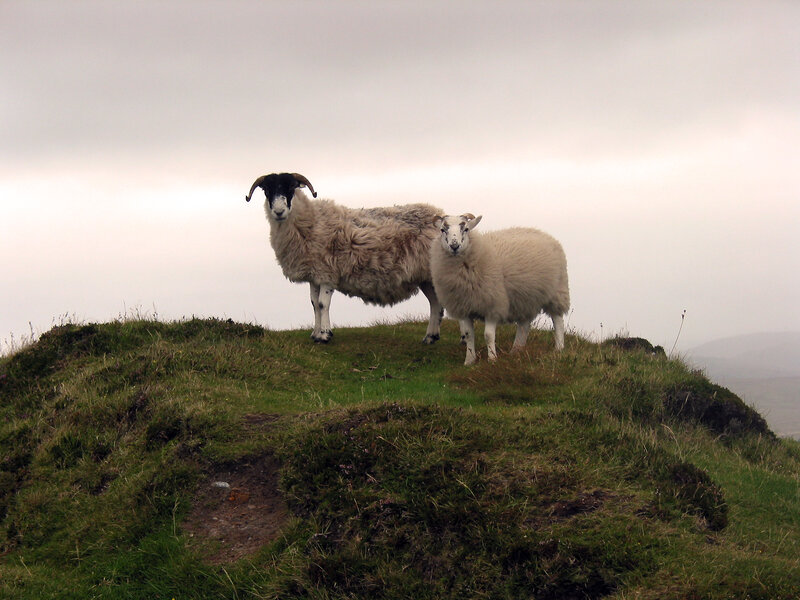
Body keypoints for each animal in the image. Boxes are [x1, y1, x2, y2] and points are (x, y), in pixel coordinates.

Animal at [245, 172, 444, 344]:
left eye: (291, 187)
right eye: (267, 190)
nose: (279, 211)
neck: (311, 221)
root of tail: (441, 216)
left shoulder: (327, 273)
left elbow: (322, 304)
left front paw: (325, 335)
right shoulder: (314, 274)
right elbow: (314, 304)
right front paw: (315, 333)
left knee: (436, 303)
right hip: (425, 277)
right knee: (435, 303)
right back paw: (431, 337)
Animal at [430, 214, 570, 365]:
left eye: (466, 229)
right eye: (443, 230)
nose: (454, 246)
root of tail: (546, 235)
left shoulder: (493, 304)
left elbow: (488, 335)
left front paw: (492, 359)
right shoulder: (464, 307)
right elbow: (468, 335)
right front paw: (469, 360)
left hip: (557, 291)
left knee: (558, 320)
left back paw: (559, 348)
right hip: (525, 297)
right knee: (524, 325)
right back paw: (516, 350)